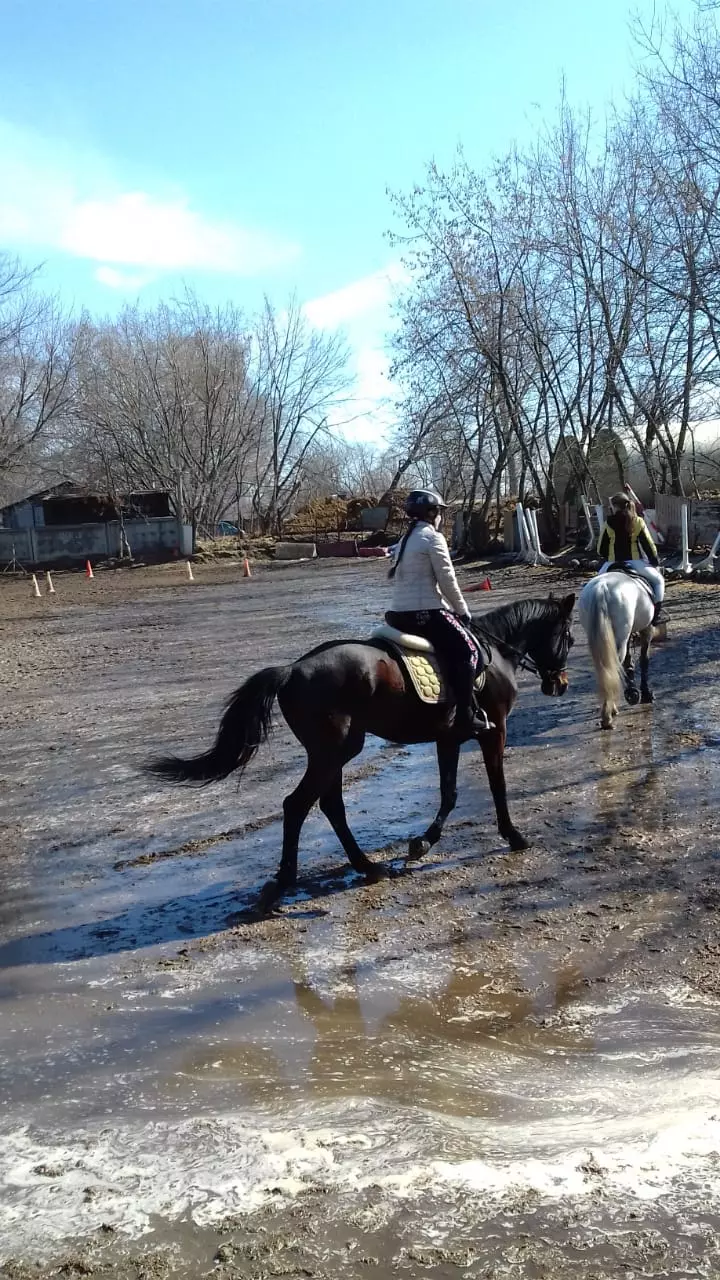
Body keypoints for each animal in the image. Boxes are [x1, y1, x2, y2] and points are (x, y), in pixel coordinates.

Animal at [149, 596, 571, 911]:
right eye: (567, 636)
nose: (560, 684)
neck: (496, 652)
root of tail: (292, 669)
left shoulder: (448, 738)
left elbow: (449, 793)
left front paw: (422, 843)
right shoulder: (493, 732)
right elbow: (497, 784)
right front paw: (514, 836)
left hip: (332, 753)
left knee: (329, 805)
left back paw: (365, 866)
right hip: (335, 751)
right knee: (297, 805)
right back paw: (285, 882)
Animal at [573, 573, 653, 732]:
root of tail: (601, 588)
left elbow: (630, 661)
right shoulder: (646, 629)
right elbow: (643, 659)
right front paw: (645, 694)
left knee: (604, 668)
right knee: (612, 667)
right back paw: (608, 717)